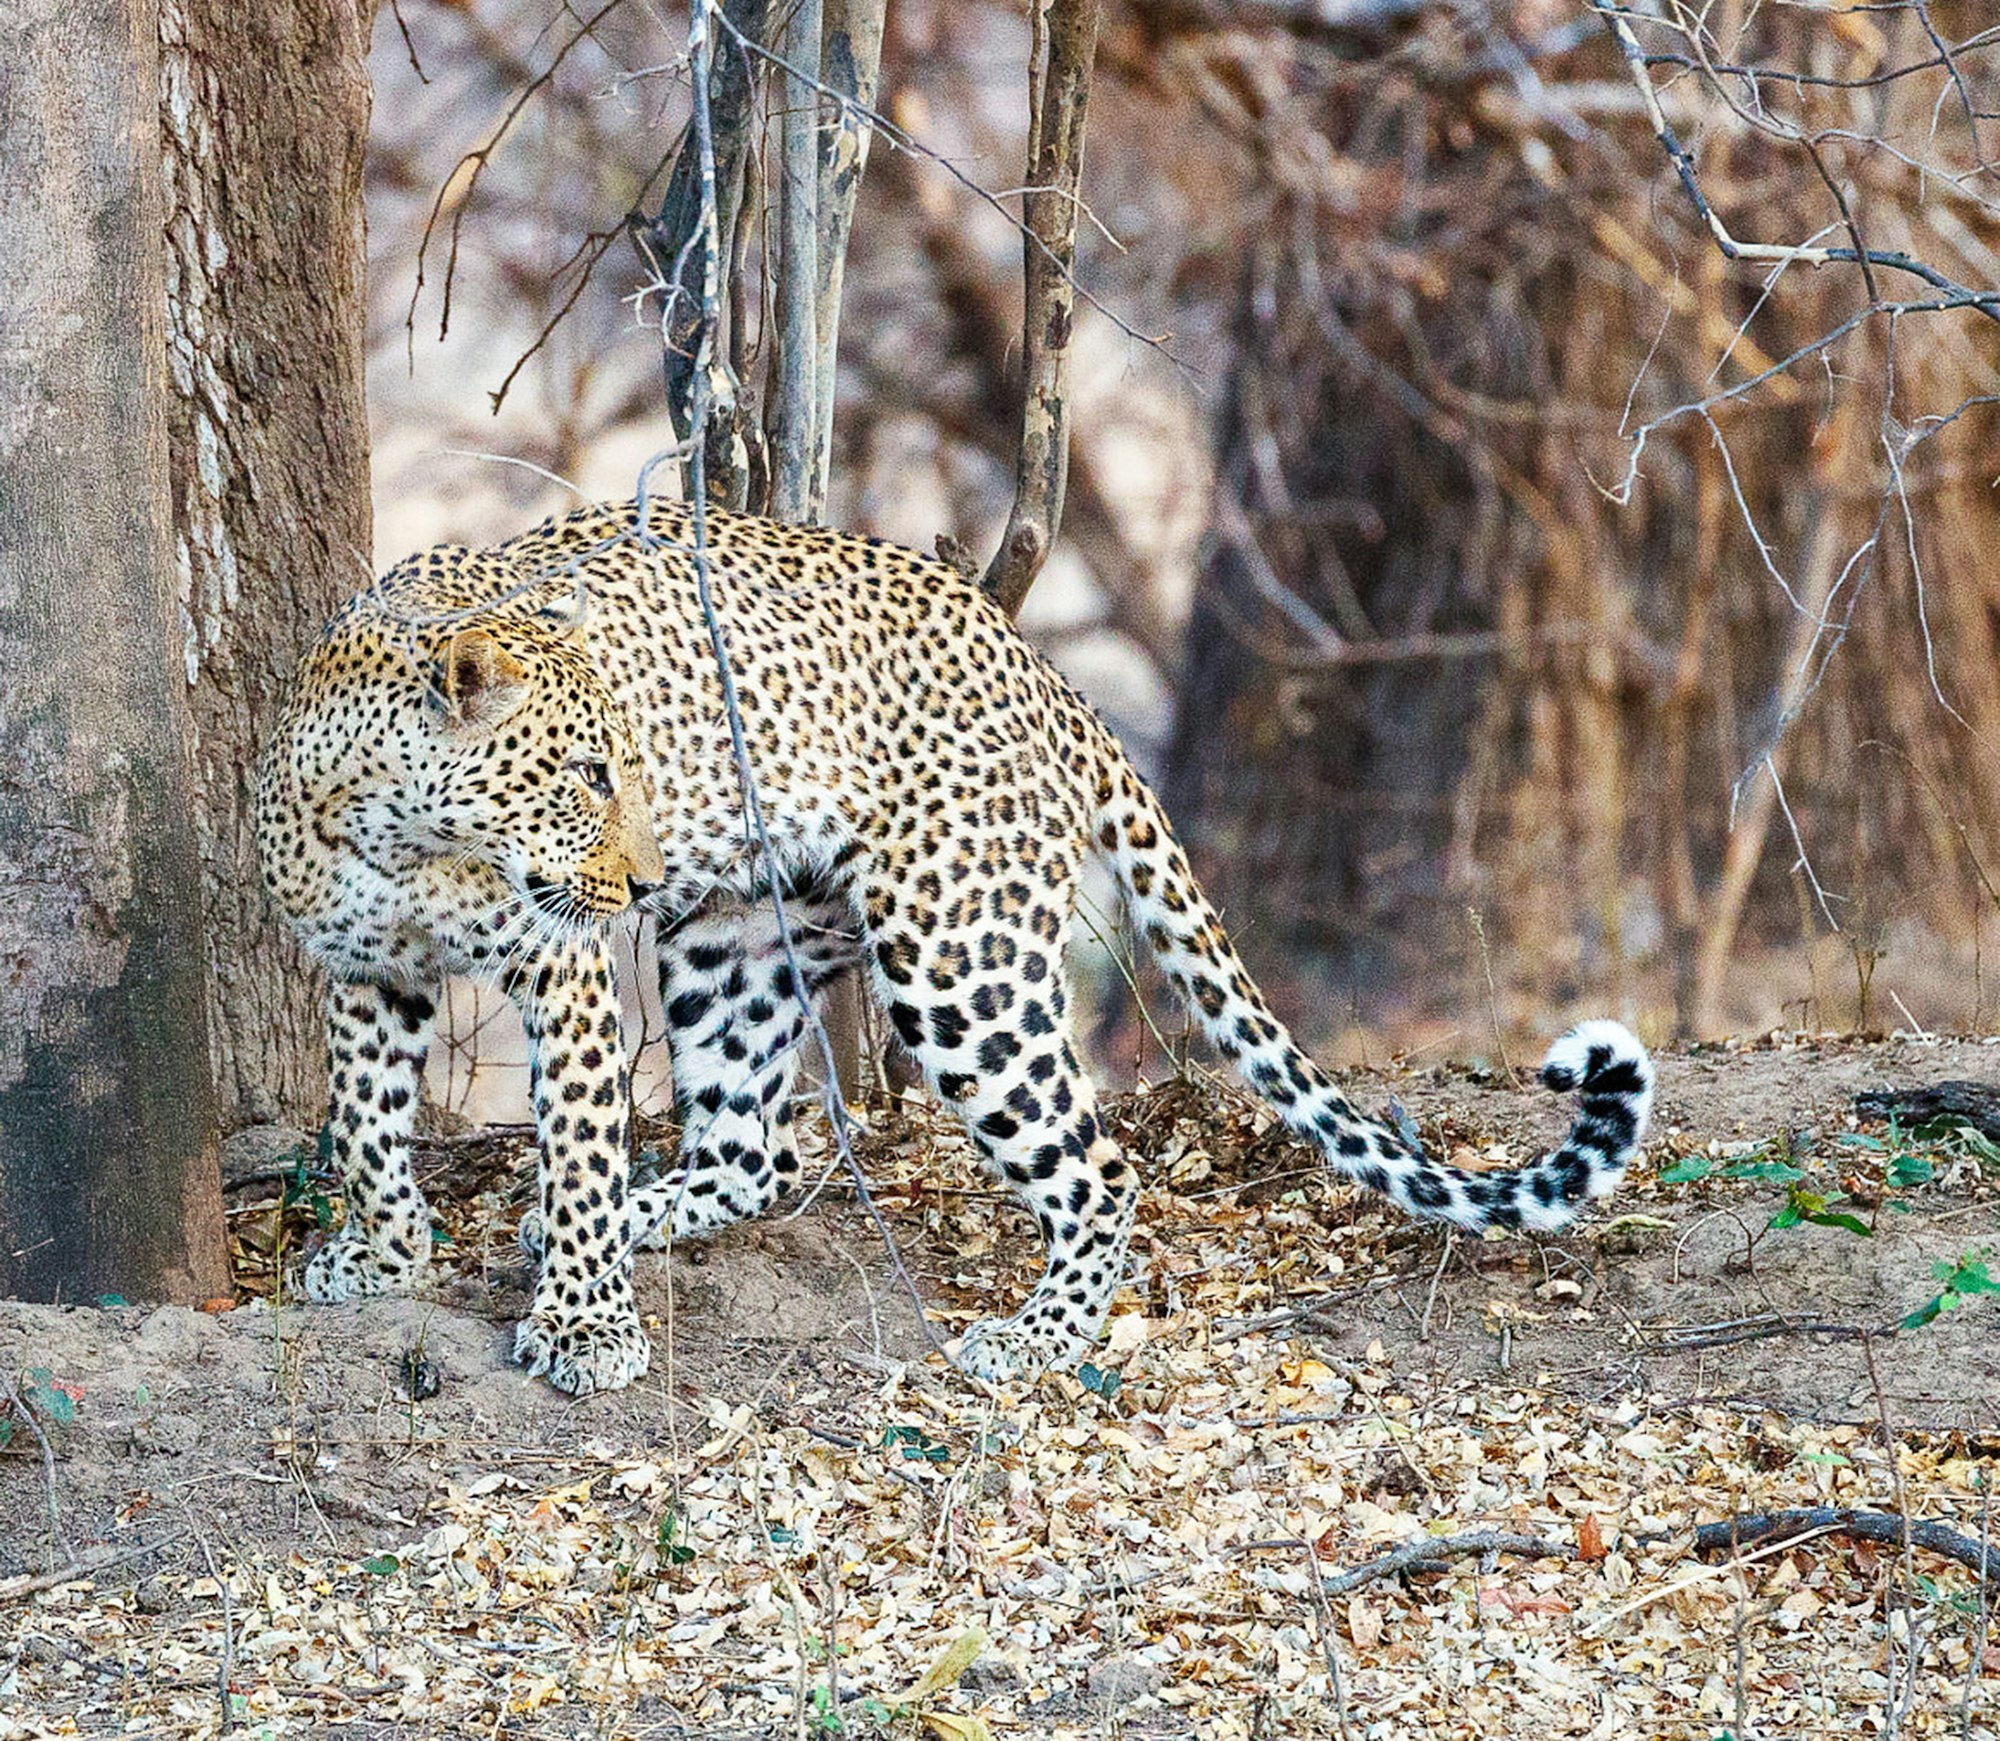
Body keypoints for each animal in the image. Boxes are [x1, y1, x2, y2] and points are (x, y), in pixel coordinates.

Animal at [254, 498, 1656, 1400]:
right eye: (585, 775)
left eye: (620, 766)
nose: (642, 874)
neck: (401, 830)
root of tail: (1042, 671)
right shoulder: (362, 969)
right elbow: (368, 1123)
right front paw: (385, 1254)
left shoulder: (565, 969)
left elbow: (581, 1137)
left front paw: (587, 1329)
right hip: (736, 938)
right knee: (755, 1152)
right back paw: (616, 1211)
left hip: (952, 958)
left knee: (1095, 1169)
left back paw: (1030, 1342)